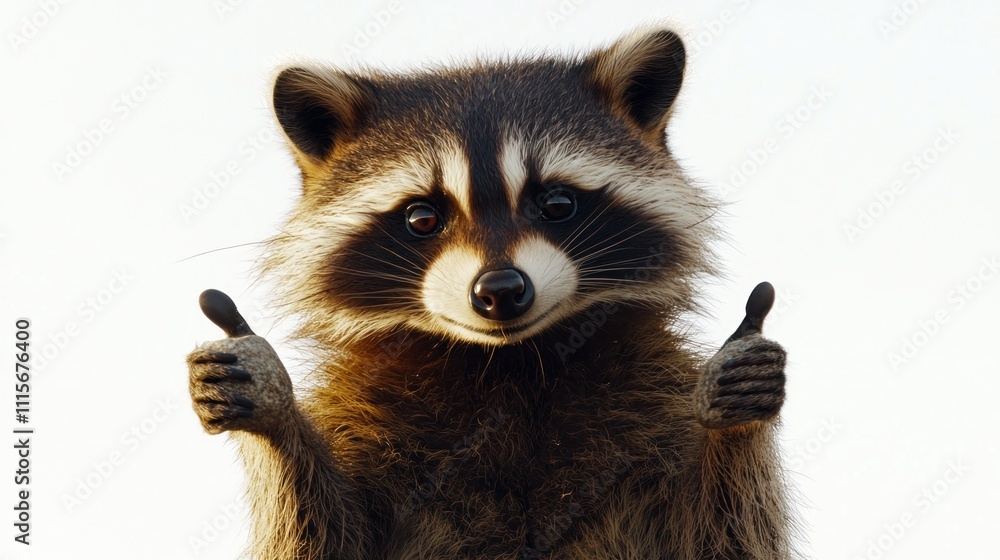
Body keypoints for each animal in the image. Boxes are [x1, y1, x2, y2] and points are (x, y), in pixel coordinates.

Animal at [187, 26, 793, 559]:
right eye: (423, 217)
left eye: (556, 204)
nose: (500, 289)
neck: (509, 364)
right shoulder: (366, 419)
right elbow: (323, 536)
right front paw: (274, 417)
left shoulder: (656, 402)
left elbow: (722, 536)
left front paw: (736, 423)